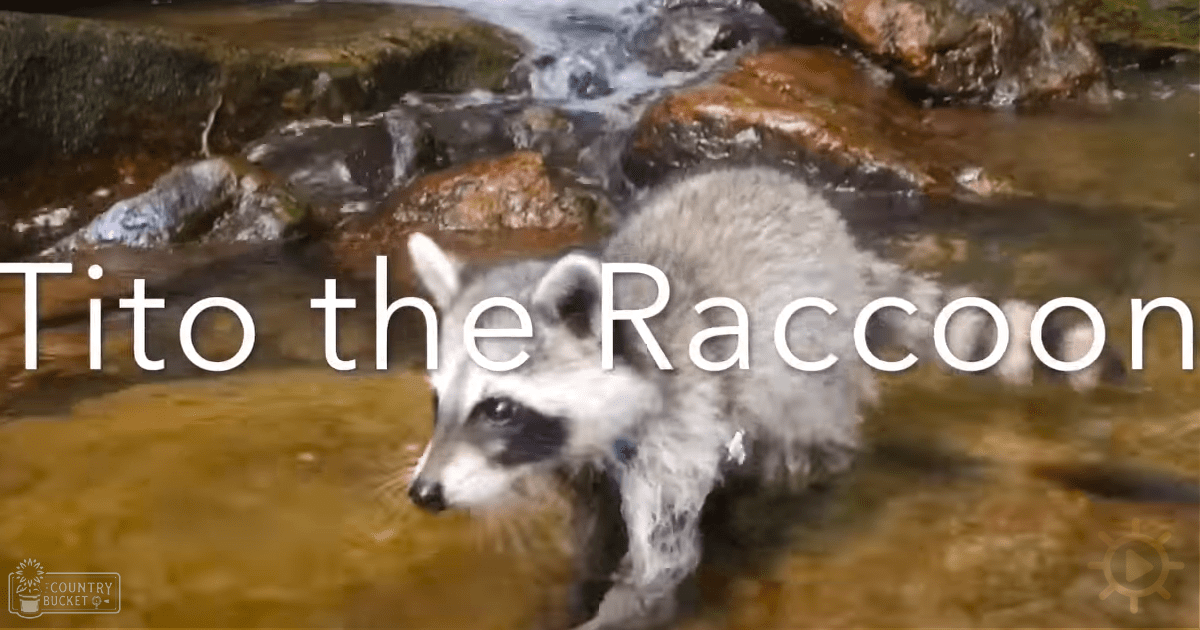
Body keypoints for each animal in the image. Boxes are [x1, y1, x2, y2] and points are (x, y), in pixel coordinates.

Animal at [403, 165, 1124, 630]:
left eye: (498, 408)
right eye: (438, 403)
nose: (424, 493)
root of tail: (842, 240)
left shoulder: (680, 427)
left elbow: (660, 568)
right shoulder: (585, 463)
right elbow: (595, 540)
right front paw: (571, 593)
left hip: (815, 364)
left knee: (810, 438)